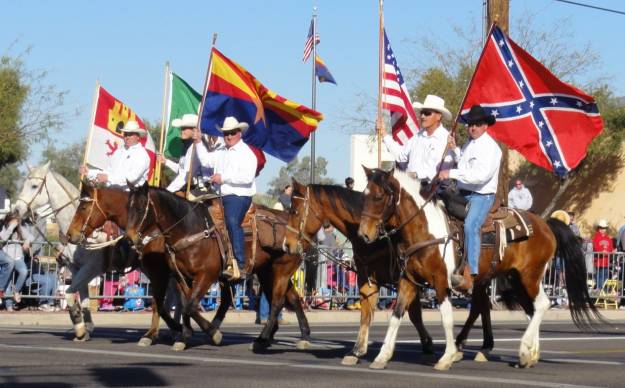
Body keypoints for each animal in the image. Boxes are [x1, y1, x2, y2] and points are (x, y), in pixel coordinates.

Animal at [12, 162, 136, 342]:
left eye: (34, 186)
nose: (16, 209)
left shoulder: (91, 268)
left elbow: (70, 294)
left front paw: (79, 328)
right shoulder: (75, 267)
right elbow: (83, 300)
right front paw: (87, 328)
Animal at [124, 183, 312, 350]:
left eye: (140, 208)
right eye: (128, 207)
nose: (129, 239)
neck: (189, 229)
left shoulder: (205, 275)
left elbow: (189, 306)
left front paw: (212, 334)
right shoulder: (180, 277)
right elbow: (184, 304)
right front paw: (184, 336)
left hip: (281, 271)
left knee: (278, 301)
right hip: (267, 273)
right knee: (292, 298)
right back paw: (298, 336)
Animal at [282, 180, 438, 368]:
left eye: (295, 211)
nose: (286, 244)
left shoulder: (406, 280)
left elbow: (413, 313)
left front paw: (427, 344)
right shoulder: (368, 279)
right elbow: (366, 313)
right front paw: (357, 350)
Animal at [356, 167, 604, 366]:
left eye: (379, 196)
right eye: (364, 196)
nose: (364, 234)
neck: (426, 229)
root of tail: (546, 224)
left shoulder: (441, 281)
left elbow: (446, 317)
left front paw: (446, 357)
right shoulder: (408, 281)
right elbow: (397, 315)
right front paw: (382, 356)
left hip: (530, 276)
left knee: (542, 304)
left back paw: (524, 350)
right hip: (514, 280)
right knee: (531, 309)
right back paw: (530, 354)